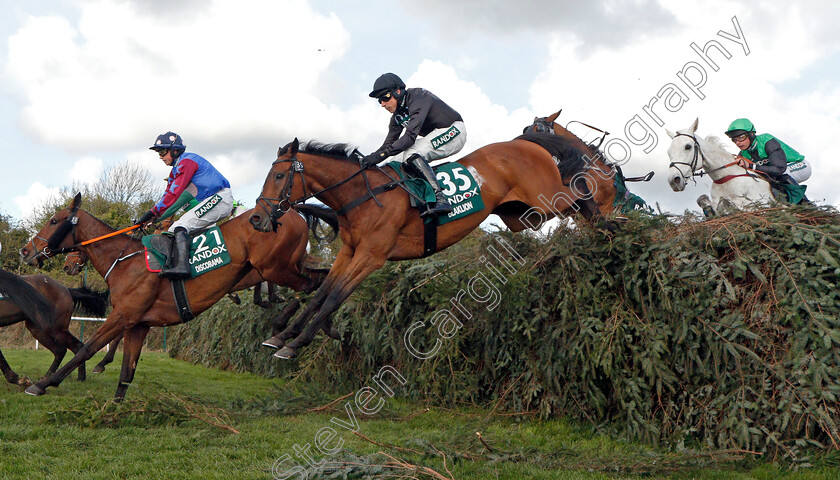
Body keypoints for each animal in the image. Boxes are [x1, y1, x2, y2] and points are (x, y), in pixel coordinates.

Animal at [19, 193, 334, 400]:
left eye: (54, 220)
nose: (25, 251)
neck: (125, 261)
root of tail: (289, 210)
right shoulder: (139, 323)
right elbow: (126, 371)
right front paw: (116, 407)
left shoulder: (124, 315)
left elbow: (87, 348)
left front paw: (43, 384)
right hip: (284, 265)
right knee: (322, 278)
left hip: (276, 266)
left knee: (319, 283)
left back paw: (288, 332)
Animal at [249, 133, 612, 358]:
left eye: (278, 177)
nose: (256, 219)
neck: (362, 196)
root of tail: (523, 143)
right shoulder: (349, 253)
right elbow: (322, 293)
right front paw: (282, 336)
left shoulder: (371, 257)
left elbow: (335, 297)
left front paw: (296, 343)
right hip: (522, 215)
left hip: (545, 198)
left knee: (580, 193)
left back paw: (609, 226)